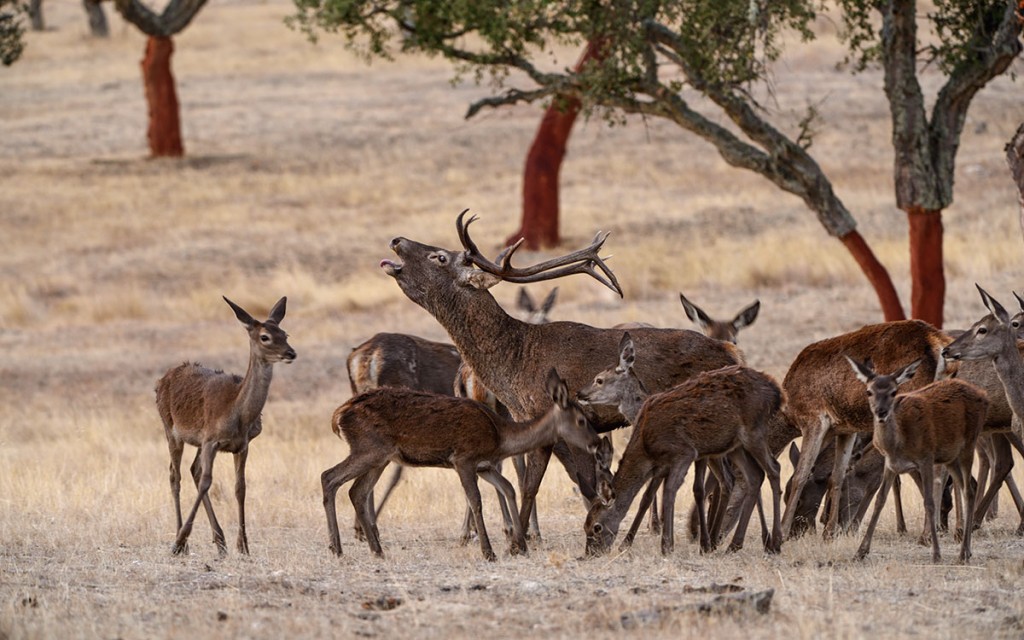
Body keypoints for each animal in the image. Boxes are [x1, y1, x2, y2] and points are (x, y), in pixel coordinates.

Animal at [155, 296, 294, 552]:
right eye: (265, 337)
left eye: (285, 333)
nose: (291, 353)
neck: (237, 413)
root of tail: (161, 381)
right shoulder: (211, 439)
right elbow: (206, 482)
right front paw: (180, 541)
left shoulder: (242, 445)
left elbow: (240, 487)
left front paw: (243, 545)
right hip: (170, 428)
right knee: (175, 475)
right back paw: (182, 541)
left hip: (197, 441)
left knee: (193, 469)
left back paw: (219, 540)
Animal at [323, 368, 598, 557]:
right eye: (582, 420)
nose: (595, 443)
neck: (500, 437)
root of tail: (337, 416)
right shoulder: (463, 458)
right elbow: (475, 500)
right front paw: (489, 552)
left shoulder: (484, 465)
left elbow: (508, 487)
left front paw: (520, 545)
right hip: (368, 449)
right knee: (329, 476)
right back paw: (337, 548)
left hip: (381, 457)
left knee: (356, 491)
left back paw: (376, 550)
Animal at [380, 211, 741, 536]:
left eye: (439, 256)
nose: (396, 240)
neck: (514, 362)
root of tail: (731, 350)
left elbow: (547, 485)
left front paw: (525, 539)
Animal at [778, 319, 954, 540]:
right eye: (782, 495)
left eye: (798, 499)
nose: (796, 532)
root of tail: (937, 342)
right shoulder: (845, 428)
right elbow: (837, 475)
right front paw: (830, 533)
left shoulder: (814, 419)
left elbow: (800, 475)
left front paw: (781, 533)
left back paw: (928, 533)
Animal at [843, 356, 987, 561]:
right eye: (868, 391)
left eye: (894, 392)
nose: (881, 411)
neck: (898, 445)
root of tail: (984, 396)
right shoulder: (891, 465)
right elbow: (880, 500)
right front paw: (860, 552)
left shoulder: (926, 458)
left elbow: (929, 501)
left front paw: (936, 553)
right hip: (950, 456)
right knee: (969, 486)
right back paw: (966, 549)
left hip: (969, 442)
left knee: (968, 489)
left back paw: (963, 552)